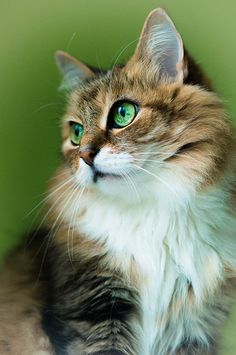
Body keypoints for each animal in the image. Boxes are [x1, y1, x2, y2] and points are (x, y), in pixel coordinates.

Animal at [0, 6, 236, 355]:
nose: (85, 155)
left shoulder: (195, 328)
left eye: (123, 113)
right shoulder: (93, 309)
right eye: (76, 132)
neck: (151, 214)